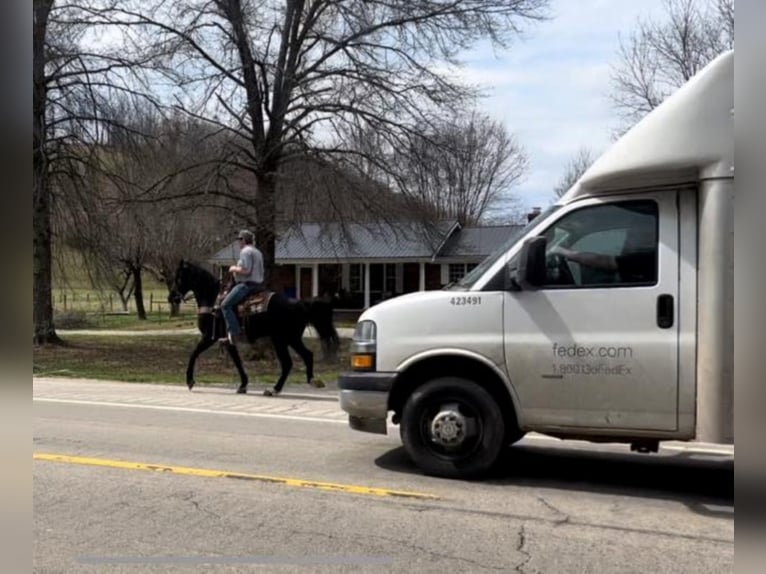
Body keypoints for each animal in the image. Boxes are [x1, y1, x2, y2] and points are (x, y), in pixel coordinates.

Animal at [170, 260, 340, 396]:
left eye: (179, 278)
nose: (171, 297)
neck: (212, 301)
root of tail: (299, 304)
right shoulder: (228, 341)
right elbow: (238, 361)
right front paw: (243, 385)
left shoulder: (209, 337)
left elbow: (194, 354)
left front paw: (190, 381)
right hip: (291, 339)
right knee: (306, 355)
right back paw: (311, 381)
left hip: (282, 340)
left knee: (288, 362)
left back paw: (274, 389)